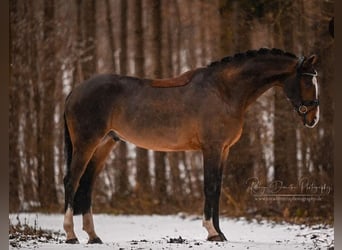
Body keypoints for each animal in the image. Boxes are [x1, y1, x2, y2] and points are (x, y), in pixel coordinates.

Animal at [62, 47, 320, 243]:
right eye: (307, 80)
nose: (313, 119)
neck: (224, 91)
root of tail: (75, 90)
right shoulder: (212, 149)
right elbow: (210, 187)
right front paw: (212, 231)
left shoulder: (224, 150)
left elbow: (217, 189)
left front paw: (219, 233)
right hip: (86, 143)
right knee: (71, 181)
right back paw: (71, 235)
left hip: (104, 145)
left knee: (87, 185)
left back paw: (93, 236)